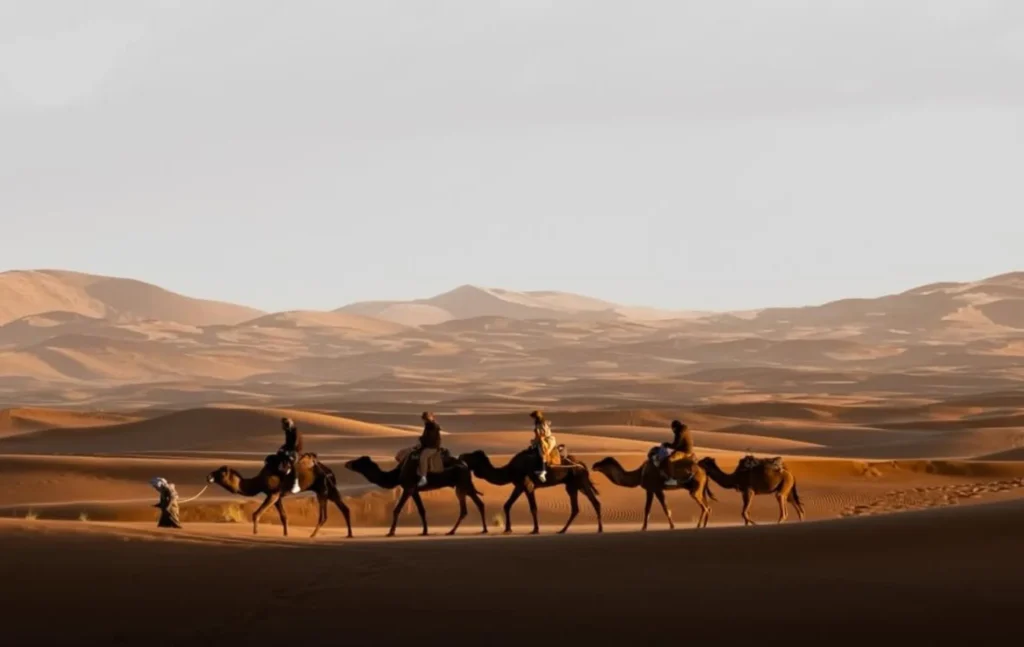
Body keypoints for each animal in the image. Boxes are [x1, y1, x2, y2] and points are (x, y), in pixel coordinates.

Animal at [206, 453, 352, 538]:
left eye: (221, 473)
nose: (209, 476)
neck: (259, 481)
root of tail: (329, 470)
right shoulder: (278, 497)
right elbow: (284, 517)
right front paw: (285, 535)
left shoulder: (273, 493)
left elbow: (256, 514)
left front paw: (255, 534)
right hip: (328, 489)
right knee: (344, 508)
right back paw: (348, 534)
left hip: (322, 488)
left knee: (324, 515)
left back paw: (313, 535)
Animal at [343, 454, 487, 537]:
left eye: (359, 462)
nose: (347, 463)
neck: (397, 474)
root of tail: (465, 466)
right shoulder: (415, 490)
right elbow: (421, 510)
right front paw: (424, 531)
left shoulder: (408, 487)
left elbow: (396, 509)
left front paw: (390, 532)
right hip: (466, 485)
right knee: (479, 503)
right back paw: (483, 530)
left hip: (461, 484)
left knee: (464, 509)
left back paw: (451, 531)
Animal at [457, 449, 603, 535]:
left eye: (471, 456)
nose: (461, 456)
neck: (509, 470)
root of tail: (581, 464)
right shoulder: (518, 486)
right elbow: (507, 505)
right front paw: (508, 528)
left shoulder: (527, 485)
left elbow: (533, 507)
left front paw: (535, 529)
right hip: (573, 485)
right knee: (578, 507)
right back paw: (563, 530)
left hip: (579, 481)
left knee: (594, 502)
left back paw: (599, 529)